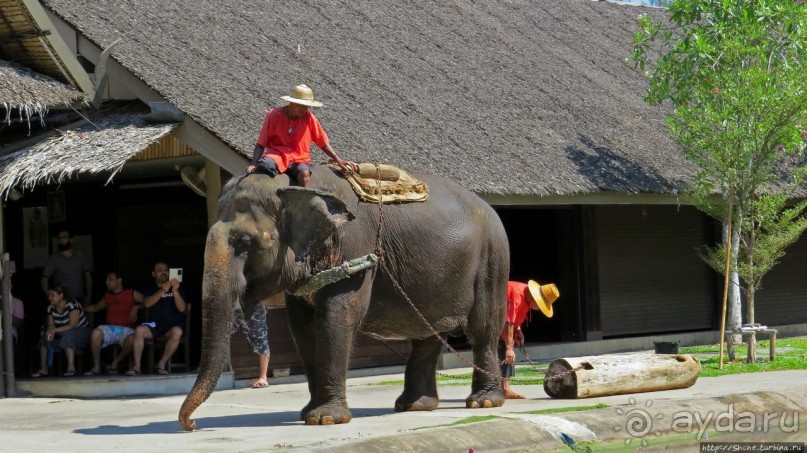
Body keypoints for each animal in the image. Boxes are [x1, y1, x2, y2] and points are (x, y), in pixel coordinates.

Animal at [179, 164, 508, 430]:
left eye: (246, 242)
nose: (192, 425)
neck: (298, 185)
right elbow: (302, 327)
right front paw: (309, 414)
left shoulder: (356, 248)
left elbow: (337, 316)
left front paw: (325, 419)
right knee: (426, 335)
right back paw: (413, 406)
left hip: (492, 259)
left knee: (483, 330)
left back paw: (484, 402)